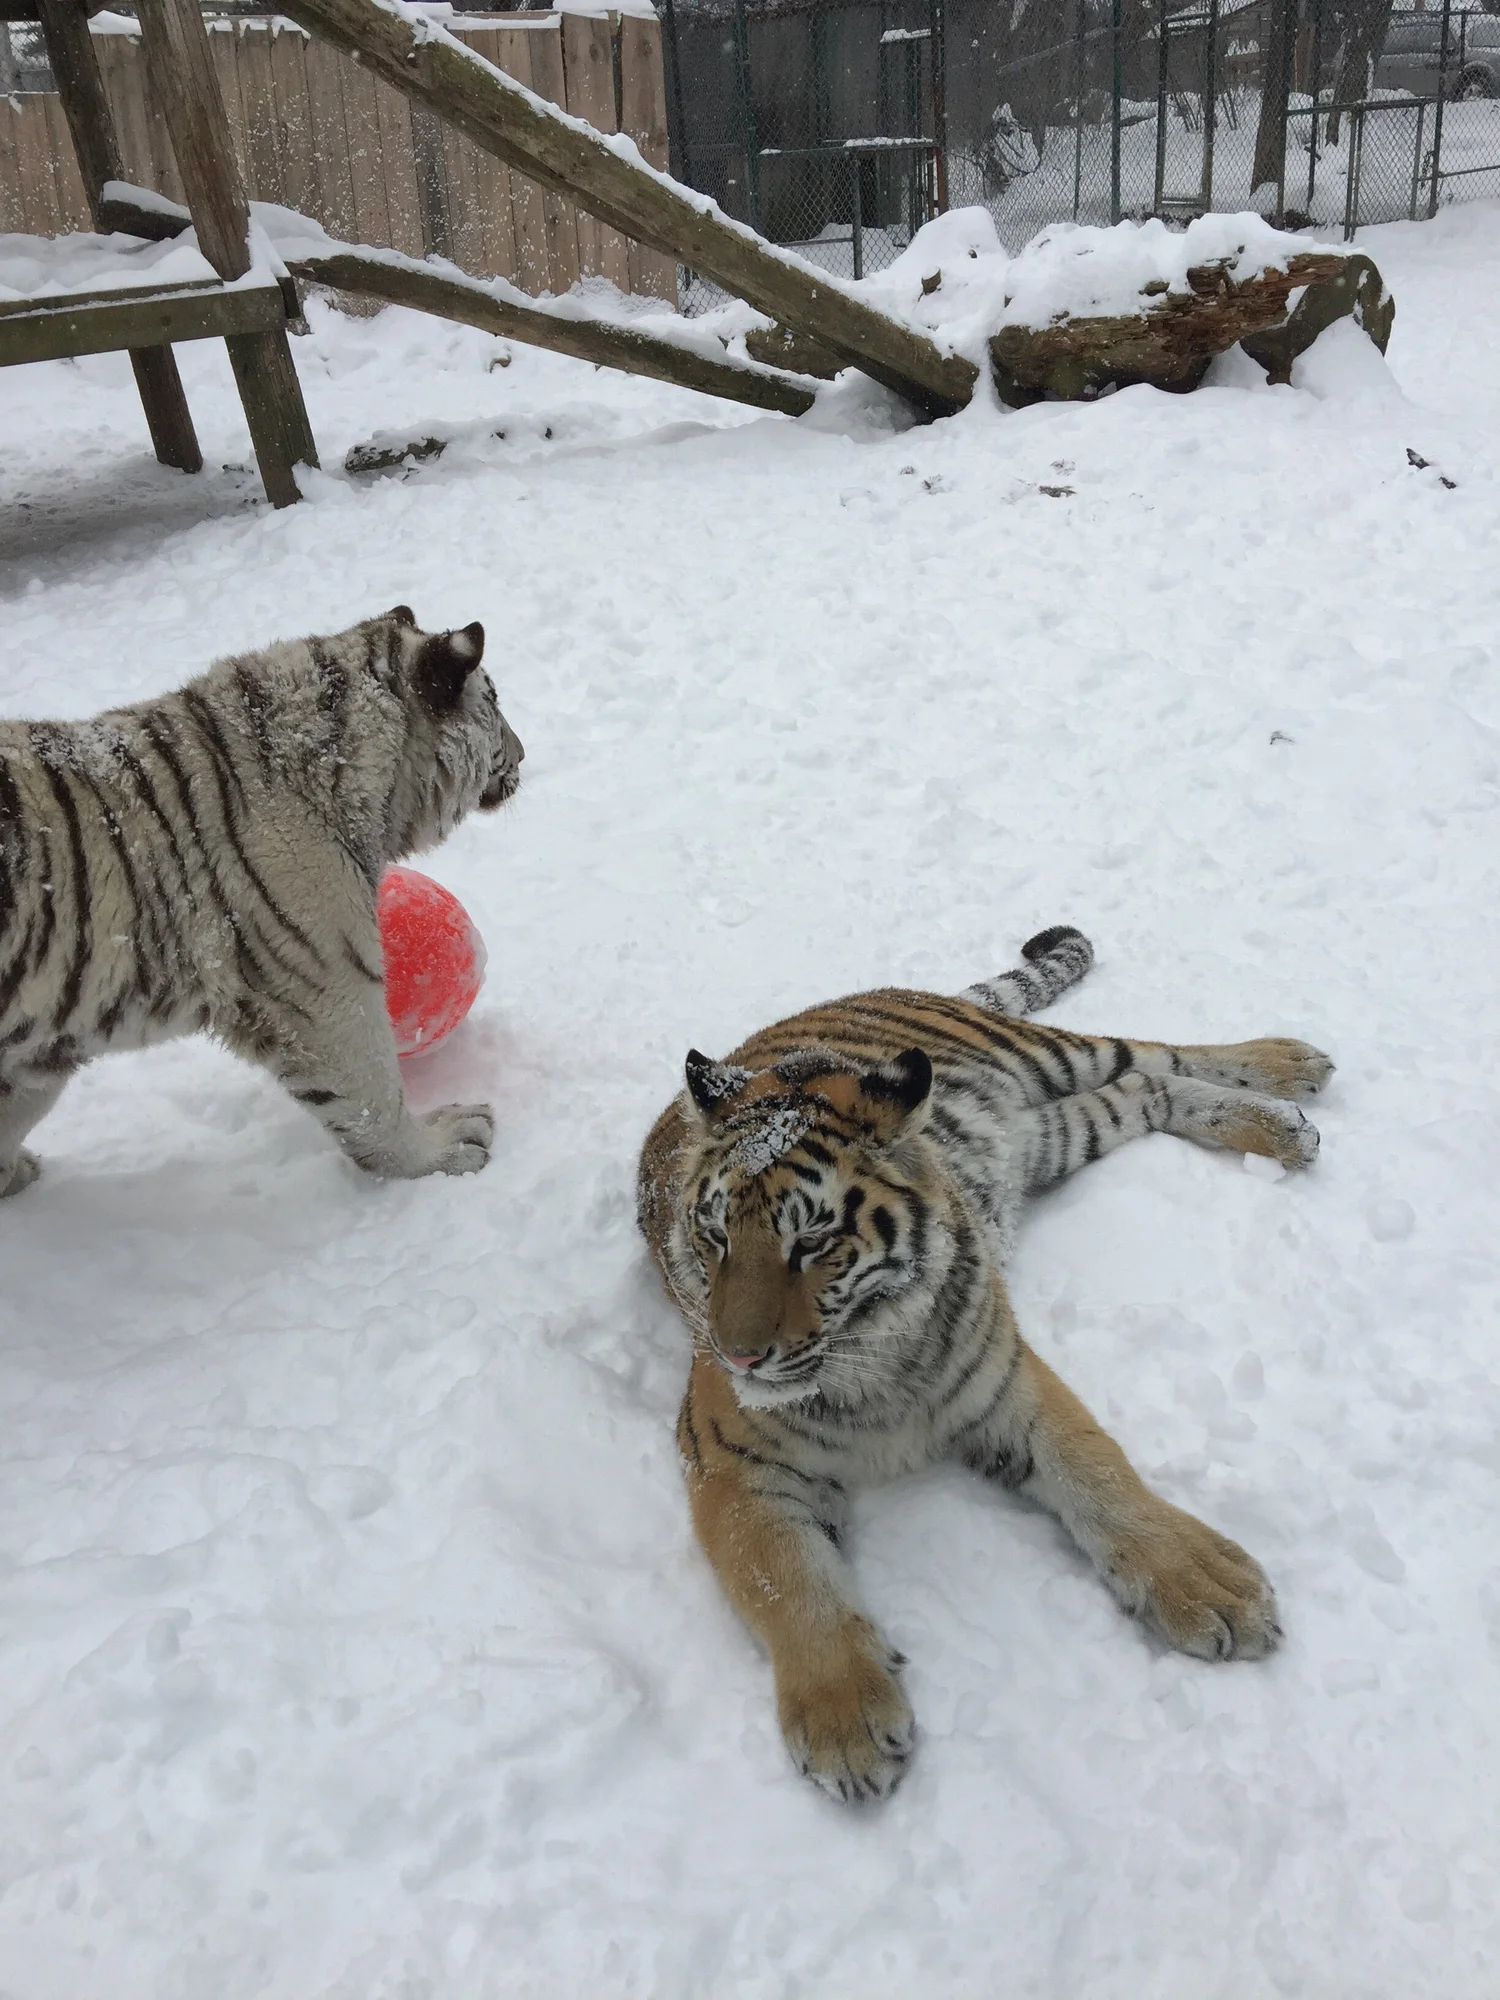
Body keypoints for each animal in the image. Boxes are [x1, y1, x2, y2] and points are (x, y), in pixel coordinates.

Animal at [0, 605, 522, 1196]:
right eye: (495, 700)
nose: (524, 752)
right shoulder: (323, 977)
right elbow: (372, 1094)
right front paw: (444, 1148)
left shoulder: (43, 1041)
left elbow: (16, 1108)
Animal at [637, 925, 1333, 1803]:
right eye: (714, 1235)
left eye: (813, 1241)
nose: (739, 1354)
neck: (869, 1365)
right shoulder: (728, 1463)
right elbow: (786, 1583)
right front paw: (846, 1723)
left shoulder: (1010, 1383)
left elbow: (1100, 1473)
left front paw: (1211, 1584)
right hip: (1058, 1133)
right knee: (1146, 1088)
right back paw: (1285, 1122)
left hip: (1047, 1057)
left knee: (1153, 1051)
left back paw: (1291, 1073)